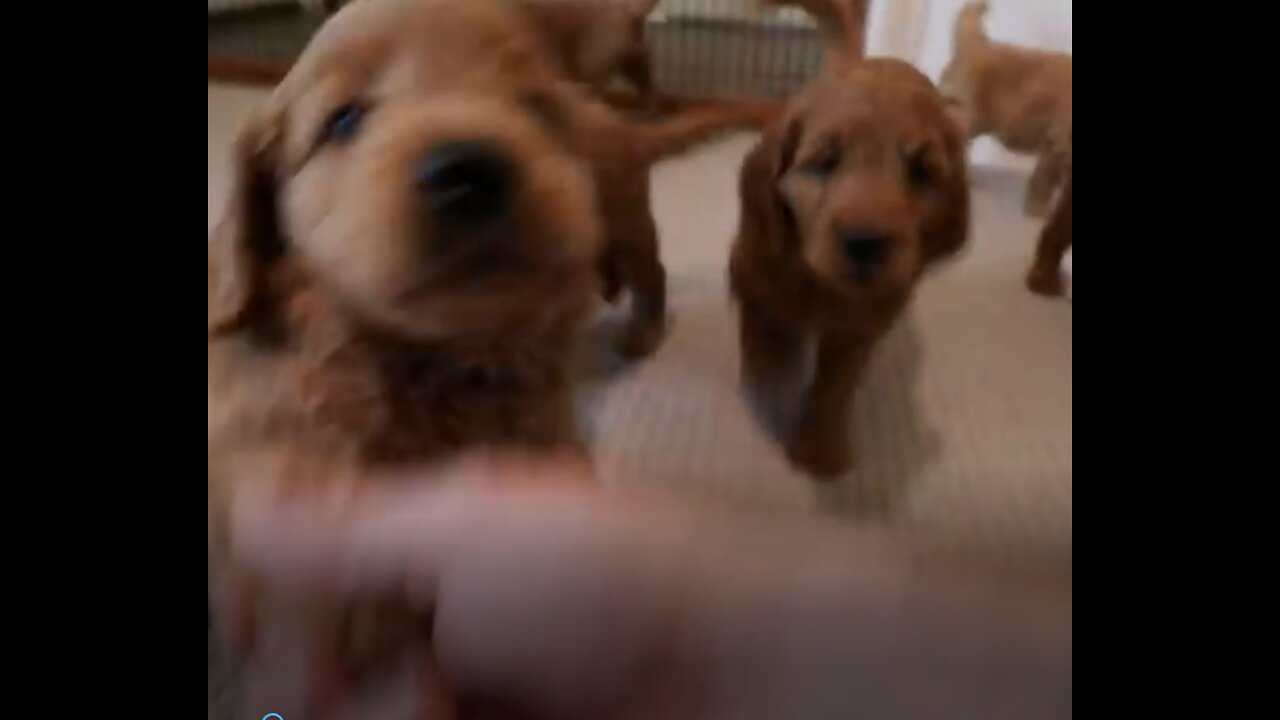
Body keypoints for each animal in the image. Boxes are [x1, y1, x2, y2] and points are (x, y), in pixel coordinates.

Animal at [732, 1, 967, 481]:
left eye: (921, 171)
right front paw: (771, 370)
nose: (865, 242)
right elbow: (762, 335)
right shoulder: (752, 269)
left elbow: (835, 386)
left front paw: (819, 448)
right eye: (823, 162)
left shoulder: (859, 327)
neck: (816, 283)